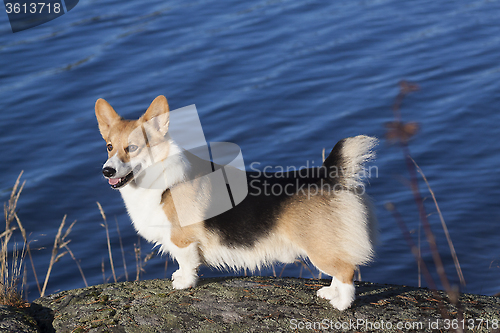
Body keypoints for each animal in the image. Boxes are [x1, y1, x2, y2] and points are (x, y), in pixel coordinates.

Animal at [94, 94, 376, 310]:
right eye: (108, 146)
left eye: (132, 148)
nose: (106, 171)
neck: (158, 175)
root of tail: (327, 174)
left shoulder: (182, 240)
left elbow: (187, 263)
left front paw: (184, 283)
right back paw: (330, 293)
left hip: (318, 248)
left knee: (346, 271)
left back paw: (342, 304)